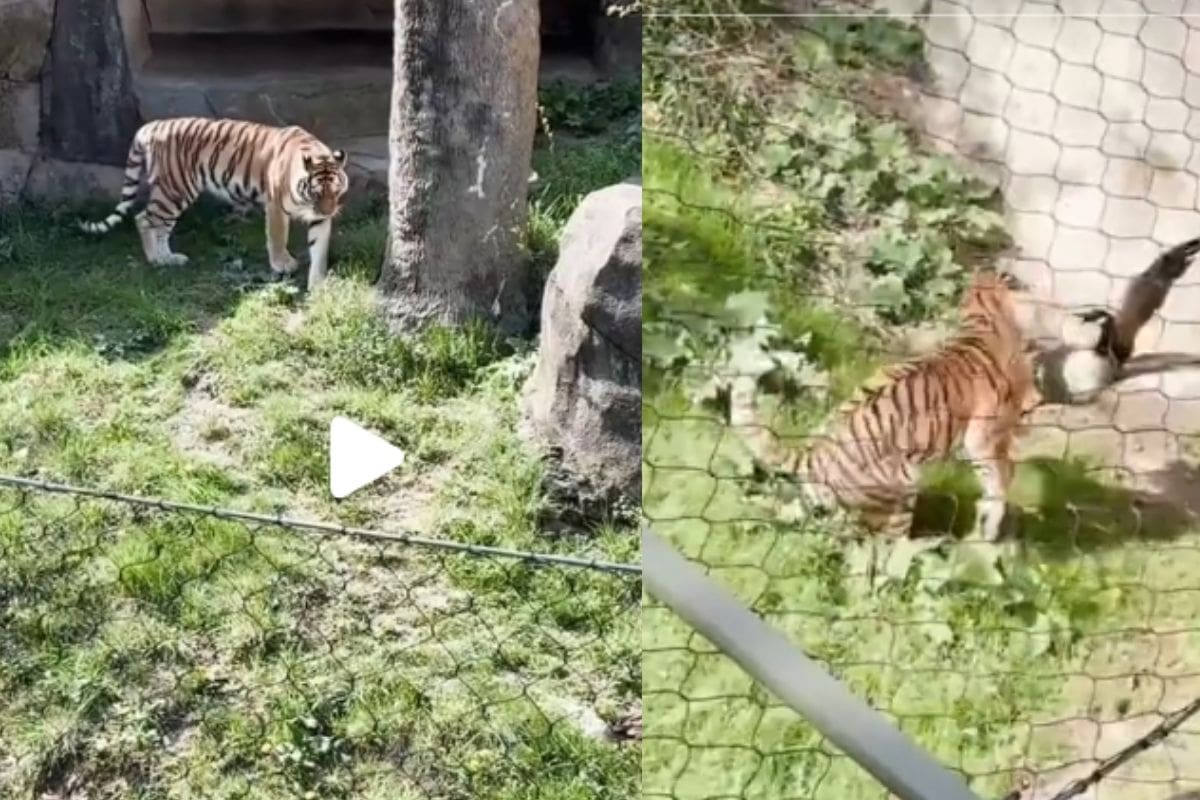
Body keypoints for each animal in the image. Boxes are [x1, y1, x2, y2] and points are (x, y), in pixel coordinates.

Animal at [78, 117, 349, 288]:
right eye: (316, 193)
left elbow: (319, 248)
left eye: (335, 191)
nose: (330, 211)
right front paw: (283, 264)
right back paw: (156, 260)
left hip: (174, 193)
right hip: (175, 190)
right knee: (144, 219)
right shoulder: (275, 206)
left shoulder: (318, 218)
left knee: (159, 226)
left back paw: (169, 259)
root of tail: (151, 126)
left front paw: (318, 284)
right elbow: (277, 237)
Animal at [729, 270, 1042, 540]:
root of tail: (814, 454)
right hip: (902, 486)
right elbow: (999, 475)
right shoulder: (984, 435)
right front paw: (993, 521)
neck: (982, 314)